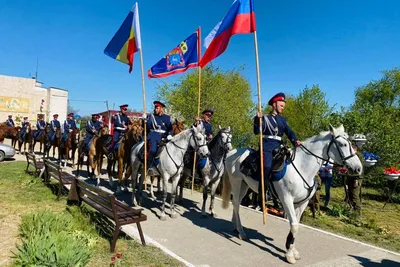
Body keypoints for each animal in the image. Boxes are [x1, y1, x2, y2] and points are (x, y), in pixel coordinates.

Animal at [222, 124, 362, 264]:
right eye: (343, 144)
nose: (358, 168)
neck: (302, 168)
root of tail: (232, 152)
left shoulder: (302, 202)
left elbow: (296, 224)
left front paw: (292, 249)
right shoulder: (286, 199)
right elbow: (294, 225)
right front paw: (289, 254)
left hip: (245, 186)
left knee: (236, 204)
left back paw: (236, 226)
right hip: (236, 182)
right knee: (236, 203)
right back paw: (241, 232)